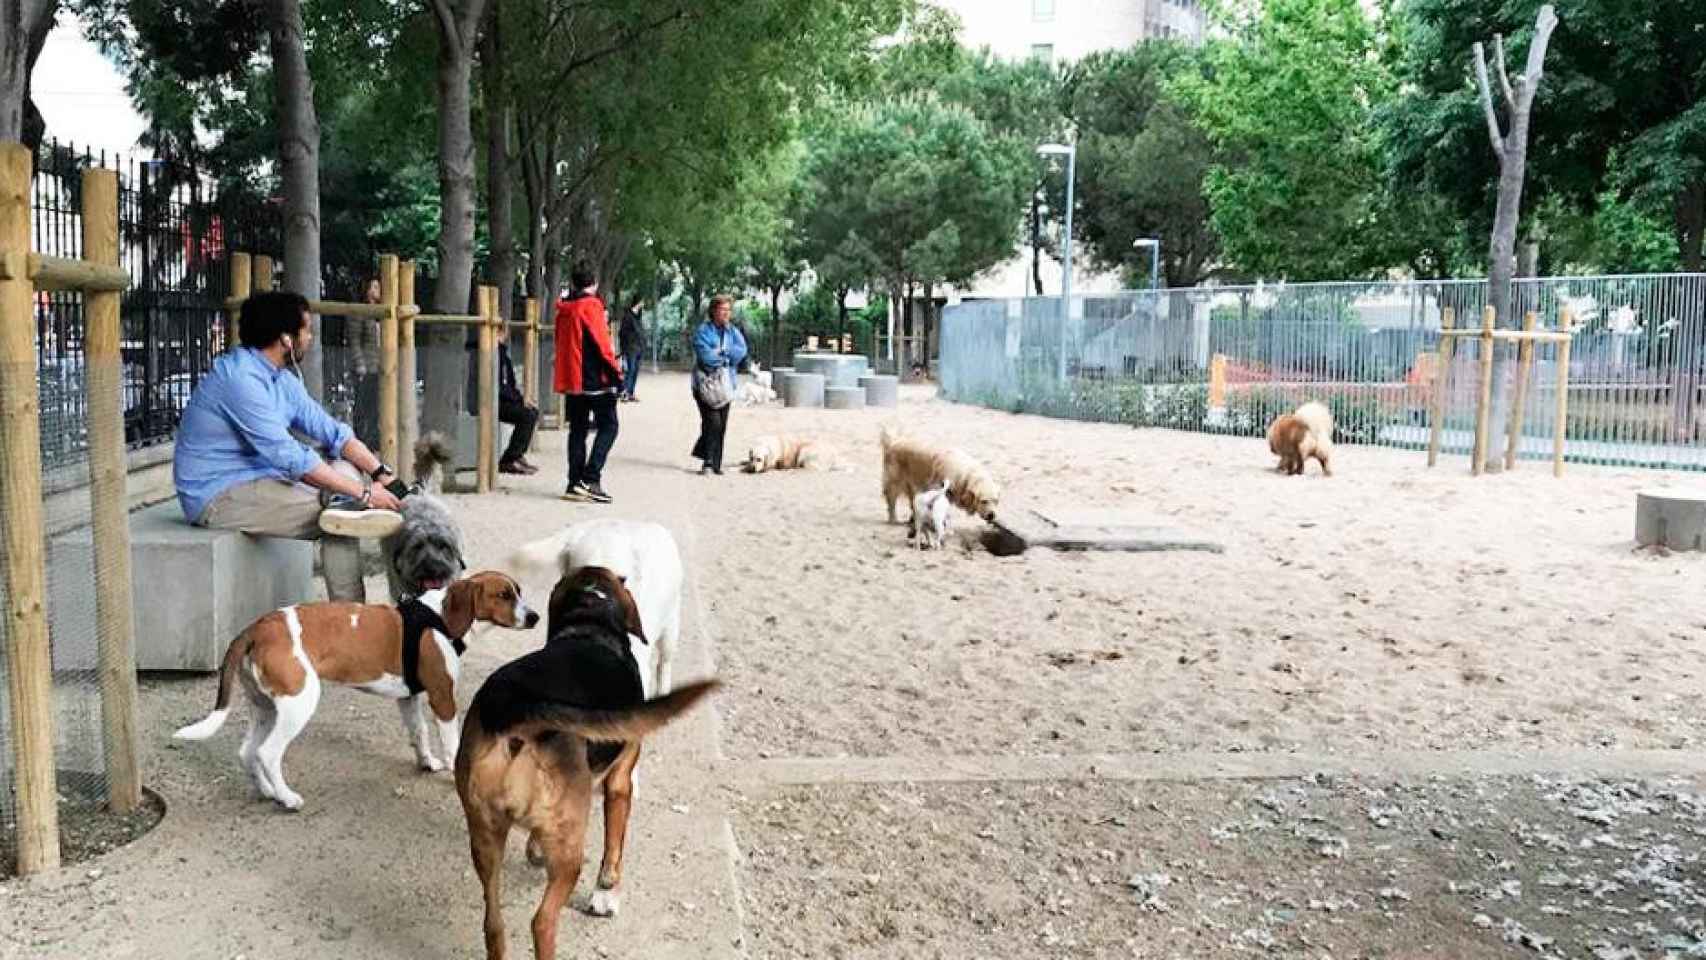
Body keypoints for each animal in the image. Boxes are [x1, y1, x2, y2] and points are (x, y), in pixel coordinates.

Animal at [172, 569, 532, 811]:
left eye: (518, 591)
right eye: (503, 595)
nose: (534, 617)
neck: (440, 617)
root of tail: (257, 628)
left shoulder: (409, 697)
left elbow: (418, 734)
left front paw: (427, 762)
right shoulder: (443, 697)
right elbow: (451, 742)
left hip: (265, 708)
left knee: (247, 751)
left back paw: (268, 792)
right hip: (297, 705)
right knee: (267, 753)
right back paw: (287, 798)